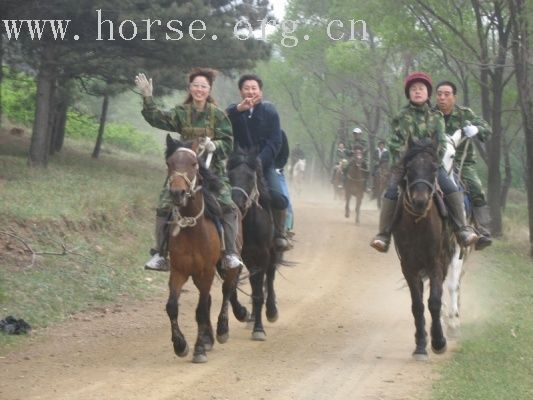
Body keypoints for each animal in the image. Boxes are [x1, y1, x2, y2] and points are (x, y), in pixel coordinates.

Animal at [164, 136, 239, 364]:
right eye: (169, 163)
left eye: (194, 164)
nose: (177, 193)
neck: (192, 228)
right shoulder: (178, 271)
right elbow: (172, 306)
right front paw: (180, 345)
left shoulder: (206, 272)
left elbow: (200, 310)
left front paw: (198, 350)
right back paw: (208, 338)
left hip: (227, 267)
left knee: (226, 290)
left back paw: (222, 330)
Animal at [224, 147, 280, 340]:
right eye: (229, 175)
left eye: (250, 176)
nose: (236, 203)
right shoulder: (234, 257)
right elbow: (232, 288)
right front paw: (242, 313)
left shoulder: (262, 256)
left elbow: (258, 294)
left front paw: (259, 330)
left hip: (271, 253)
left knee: (269, 278)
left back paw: (271, 312)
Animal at [390, 138, 454, 360]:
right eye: (409, 168)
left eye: (434, 168)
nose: (420, 200)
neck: (418, 223)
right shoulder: (408, 266)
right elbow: (417, 305)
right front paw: (420, 345)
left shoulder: (436, 264)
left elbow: (434, 301)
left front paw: (439, 341)